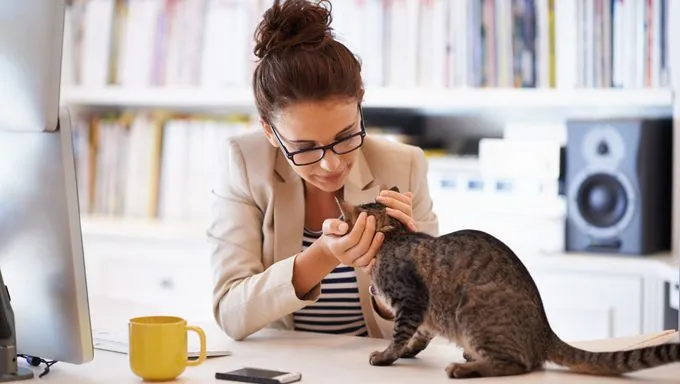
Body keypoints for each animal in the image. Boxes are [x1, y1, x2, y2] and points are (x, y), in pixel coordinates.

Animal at [334, 188, 680, 380]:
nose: (334, 224)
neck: (394, 234)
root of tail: (544, 332)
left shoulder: (412, 300)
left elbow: (400, 333)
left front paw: (386, 356)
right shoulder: (426, 313)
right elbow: (420, 334)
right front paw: (407, 350)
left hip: (472, 308)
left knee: (520, 364)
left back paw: (466, 368)